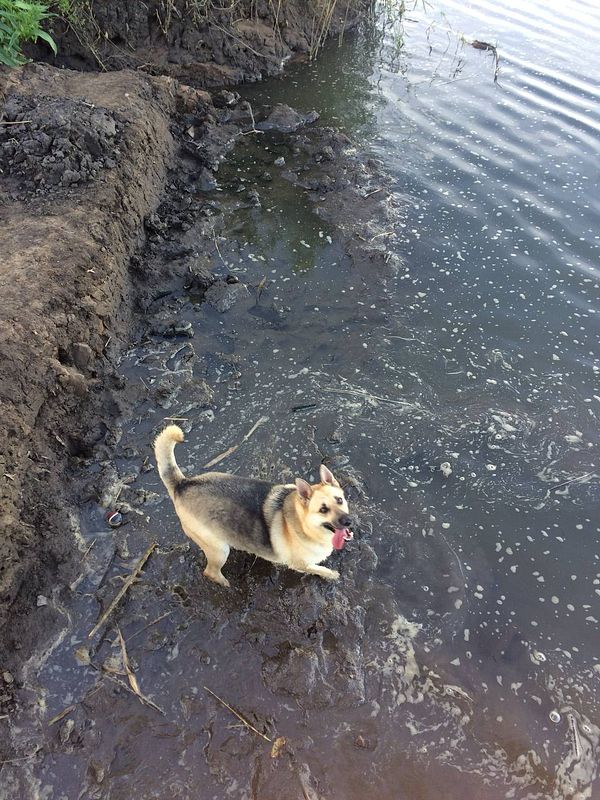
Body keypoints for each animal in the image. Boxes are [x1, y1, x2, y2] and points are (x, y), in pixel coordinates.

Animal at [154, 425, 354, 586]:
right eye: (323, 509)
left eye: (339, 500)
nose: (348, 521)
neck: (304, 525)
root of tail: (182, 484)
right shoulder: (300, 564)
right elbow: (318, 569)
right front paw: (332, 574)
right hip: (219, 550)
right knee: (210, 572)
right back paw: (226, 585)